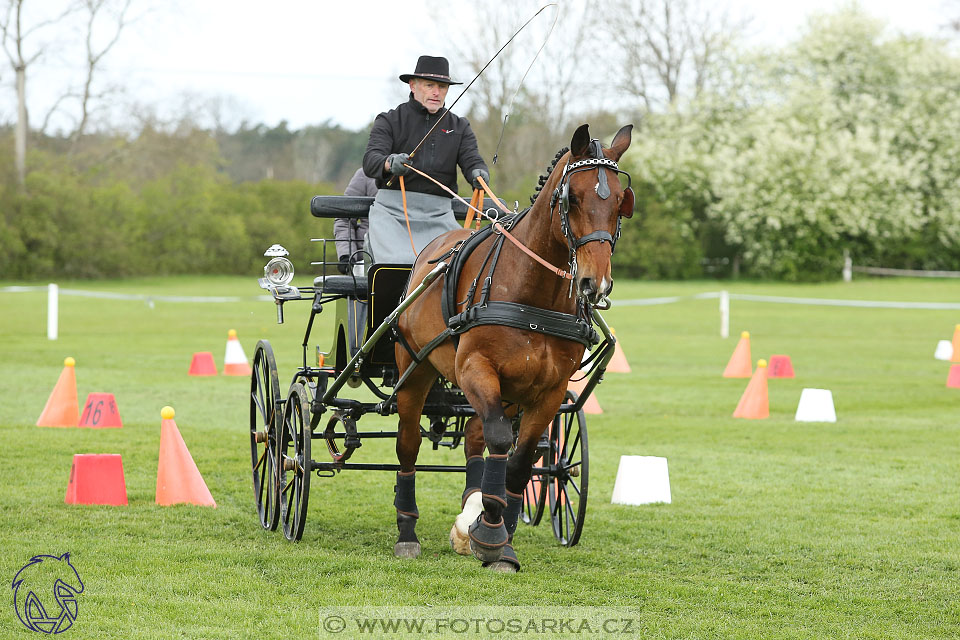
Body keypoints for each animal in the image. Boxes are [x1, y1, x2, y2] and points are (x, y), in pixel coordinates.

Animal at [388, 122, 632, 572]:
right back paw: (408, 530)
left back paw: (472, 510)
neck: (533, 296)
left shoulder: (549, 389)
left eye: (622, 203)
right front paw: (489, 533)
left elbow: (520, 460)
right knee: (409, 444)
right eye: (573, 198)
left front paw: (497, 539)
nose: (595, 283)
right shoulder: (474, 368)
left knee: (475, 436)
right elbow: (502, 441)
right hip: (417, 371)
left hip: (511, 391)